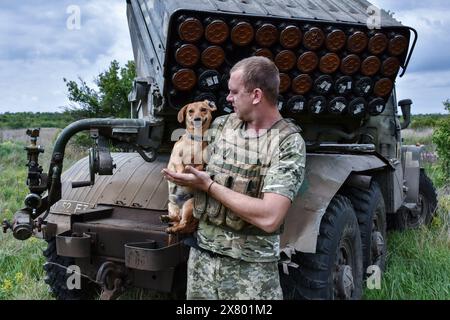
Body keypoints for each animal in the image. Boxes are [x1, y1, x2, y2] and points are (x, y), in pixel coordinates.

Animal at [161, 100, 217, 235]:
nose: (197, 119)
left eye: (203, 109)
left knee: (183, 224)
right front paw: (183, 173)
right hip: (171, 204)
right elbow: (180, 167)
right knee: (177, 218)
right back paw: (167, 219)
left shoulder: (202, 162)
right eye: (190, 111)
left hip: (189, 205)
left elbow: (199, 167)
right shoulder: (176, 157)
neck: (195, 140)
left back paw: (172, 228)